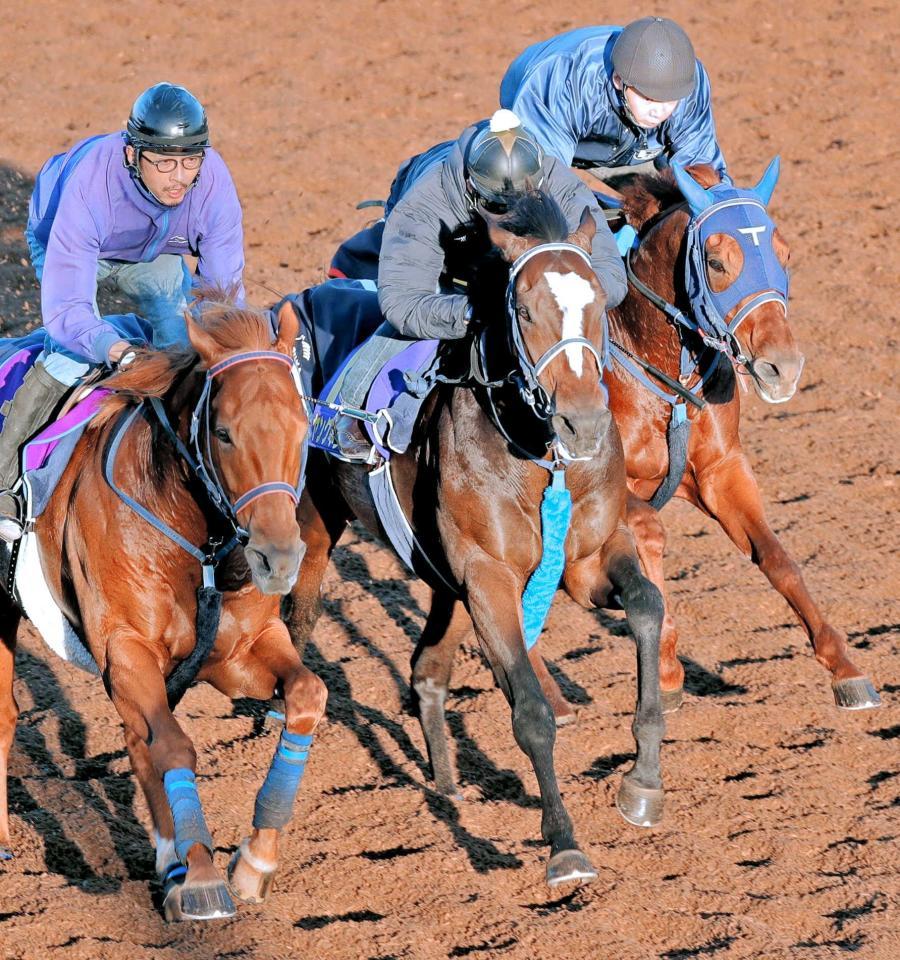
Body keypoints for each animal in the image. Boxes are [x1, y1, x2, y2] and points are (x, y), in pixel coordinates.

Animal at [0, 294, 328, 924]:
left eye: (303, 427)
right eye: (223, 433)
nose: (278, 558)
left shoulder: (239, 651)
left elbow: (306, 695)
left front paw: (252, 861)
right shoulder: (126, 648)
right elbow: (172, 743)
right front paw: (199, 876)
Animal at [284, 191, 664, 888]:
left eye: (599, 300)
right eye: (525, 309)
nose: (585, 422)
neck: (541, 458)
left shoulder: (588, 561)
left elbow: (648, 606)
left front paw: (643, 780)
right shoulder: (489, 577)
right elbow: (532, 711)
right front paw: (564, 844)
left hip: (445, 579)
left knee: (426, 670)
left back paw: (446, 783)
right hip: (312, 529)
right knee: (295, 629)